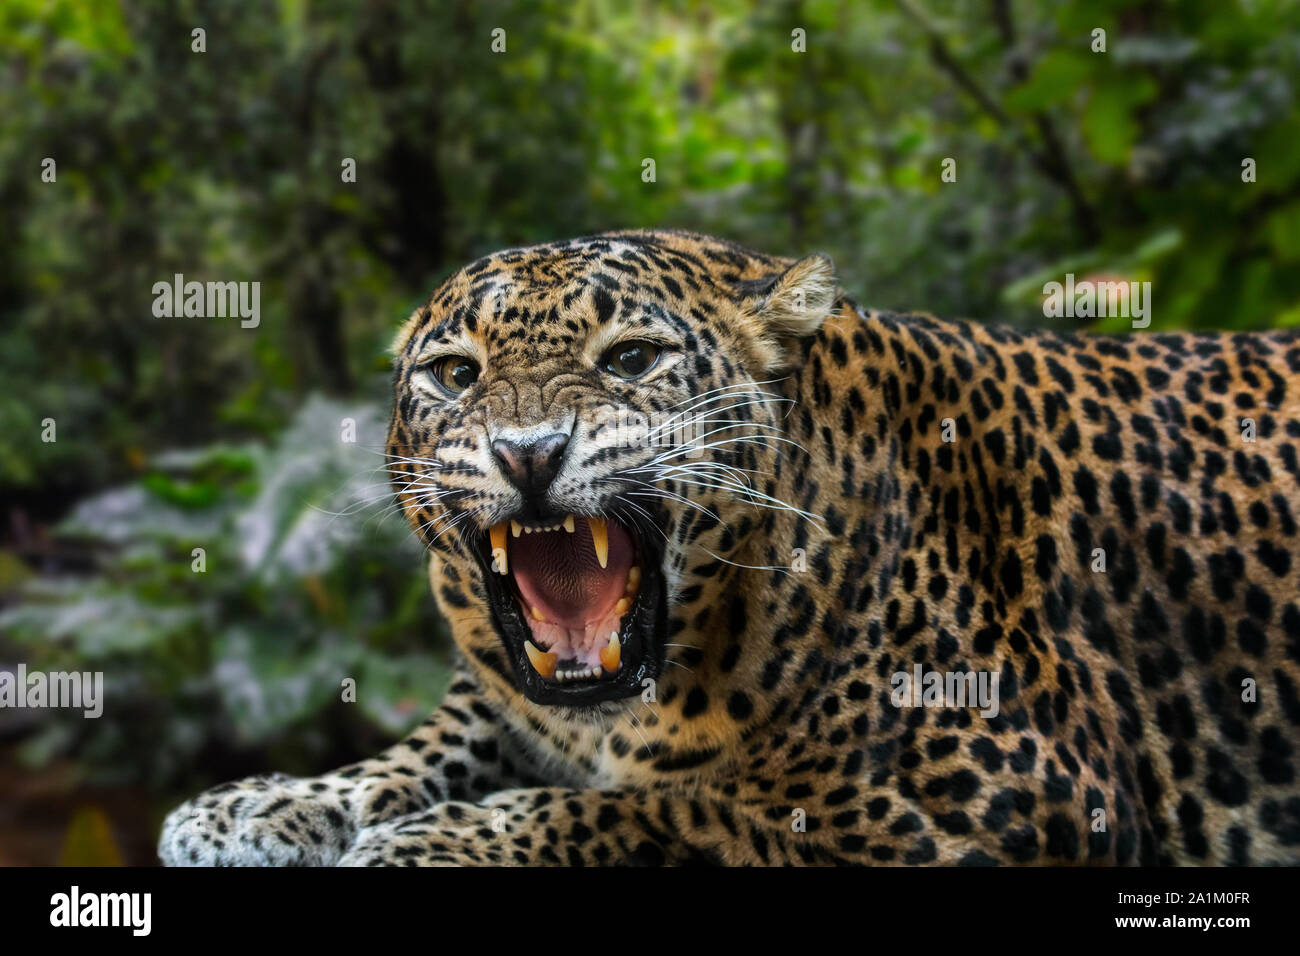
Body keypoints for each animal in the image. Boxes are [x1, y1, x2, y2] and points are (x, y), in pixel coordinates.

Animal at [159, 227, 1300, 863]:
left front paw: (436, 839)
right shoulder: (497, 702)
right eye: (454, 373)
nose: (527, 452)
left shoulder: (1005, 796)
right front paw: (259, 803)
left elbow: (666, 811)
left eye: (631, 359)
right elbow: (403, 757)